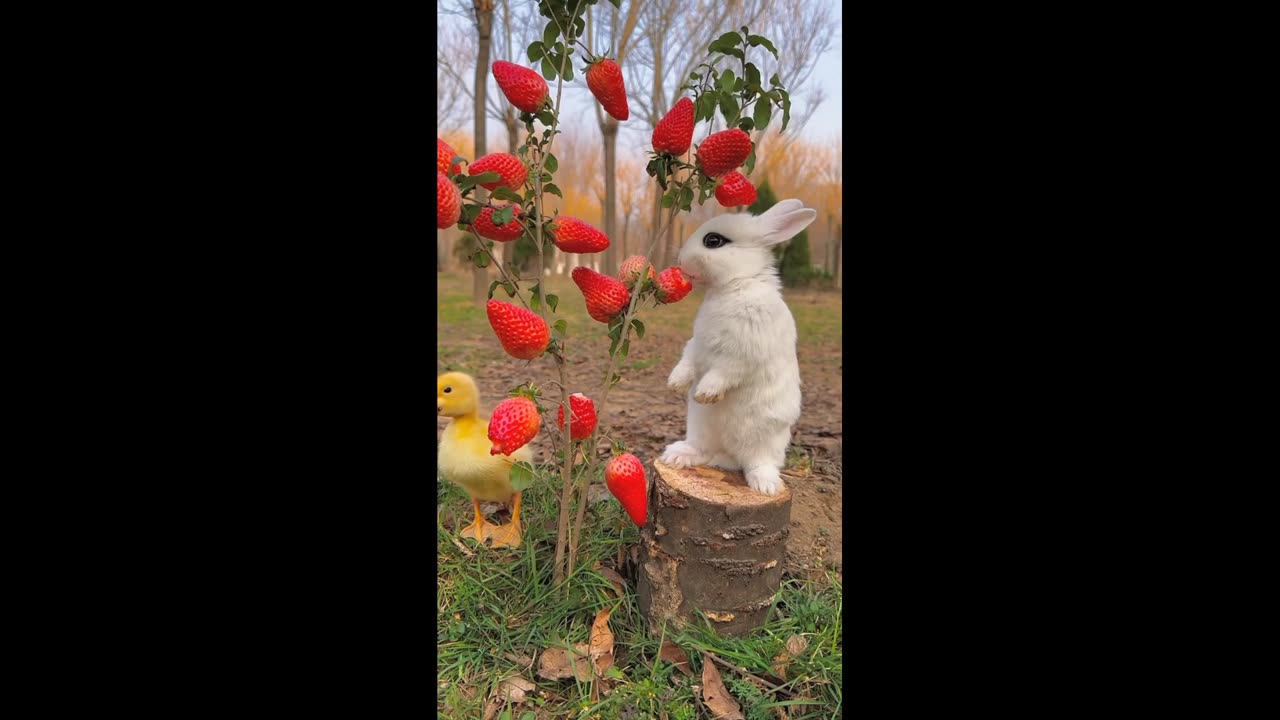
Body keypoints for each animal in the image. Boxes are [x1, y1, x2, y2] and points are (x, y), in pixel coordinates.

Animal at [660, 198, 819, 497]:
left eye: (713, 241)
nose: (680, 261)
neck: (736, 284)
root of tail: (729, 455)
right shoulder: (697, 343)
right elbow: (687, 361)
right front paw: (675, 383)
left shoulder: (744, 352)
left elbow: (725, 372)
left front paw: (705, 393)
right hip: (701, 427)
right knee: (704, 451)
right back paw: (677, 455)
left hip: (765, 439)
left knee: (759, 463)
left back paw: (766, 486)